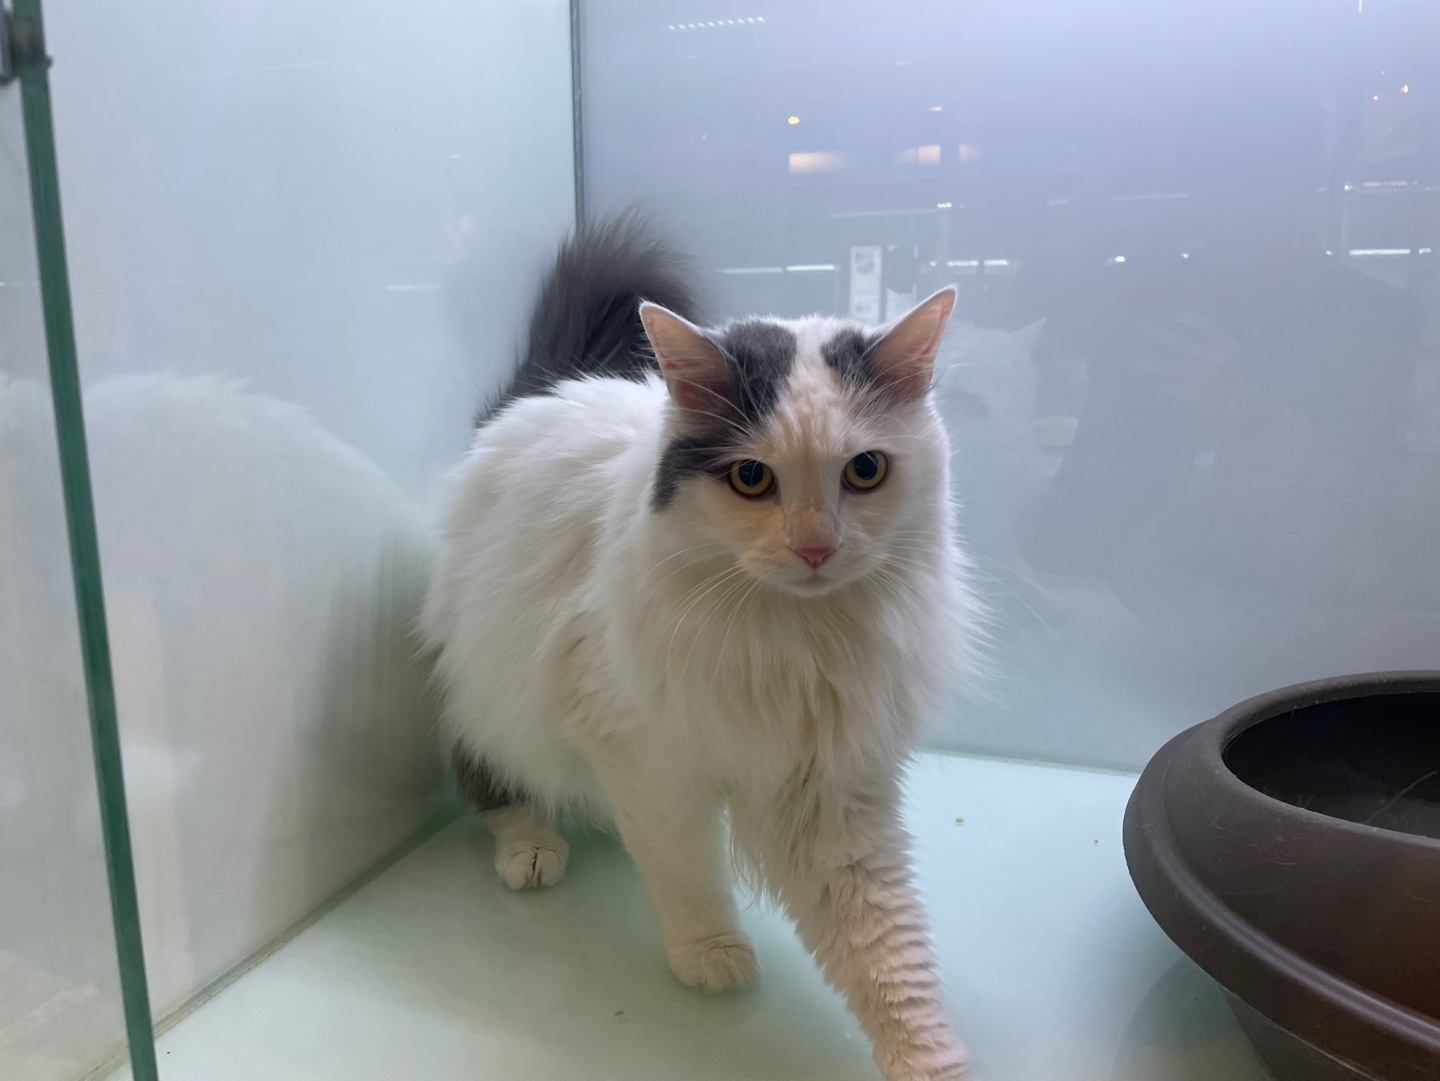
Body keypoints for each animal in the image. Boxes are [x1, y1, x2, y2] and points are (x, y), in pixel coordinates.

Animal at [422, 213, 982, 1081]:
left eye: (864, 470)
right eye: (751, 478)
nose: (816, 547)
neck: (797, 639)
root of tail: (545, 389)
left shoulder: (836, 787)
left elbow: (886, 953)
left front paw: (929, 1058)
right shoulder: (642, 752)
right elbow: (684, 868)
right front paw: (711, 952)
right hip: (491, 684)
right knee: (490, 772)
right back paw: (533, 848)